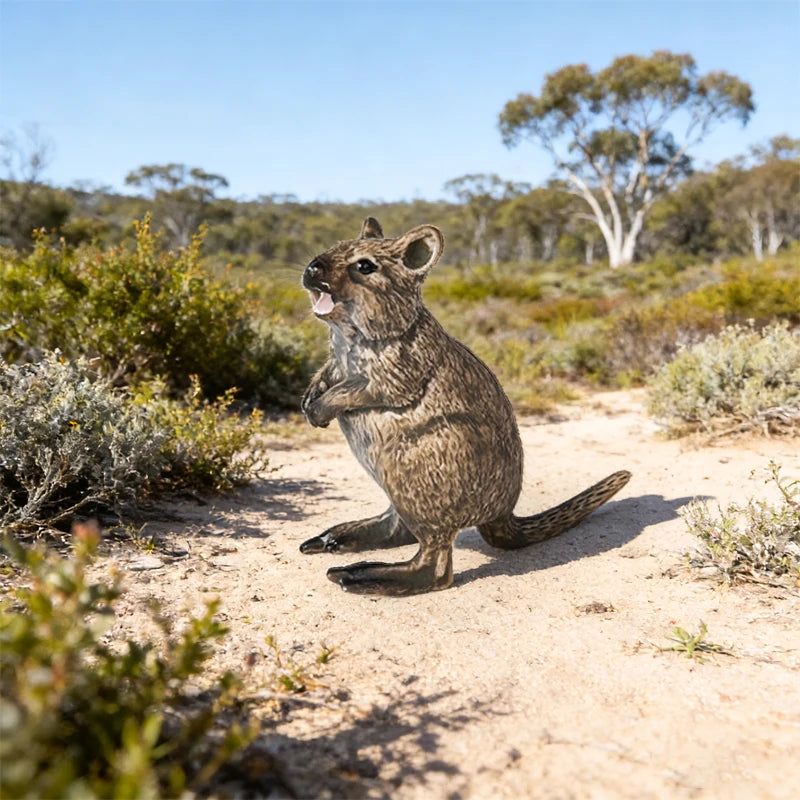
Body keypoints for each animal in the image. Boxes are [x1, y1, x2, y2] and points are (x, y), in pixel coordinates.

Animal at [299, 217, 631, 596]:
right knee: (399, 528)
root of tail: (500, 514)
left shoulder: (400, 372)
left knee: (436, 565)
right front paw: (309, 401)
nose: (312, 269)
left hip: (422, 460)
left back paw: (360, 575)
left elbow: (359, 390)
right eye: (334, 247)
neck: (351, 336)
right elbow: (327, 374)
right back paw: (332, 539)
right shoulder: (336, 362)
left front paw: (319, 409)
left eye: (365, 267)